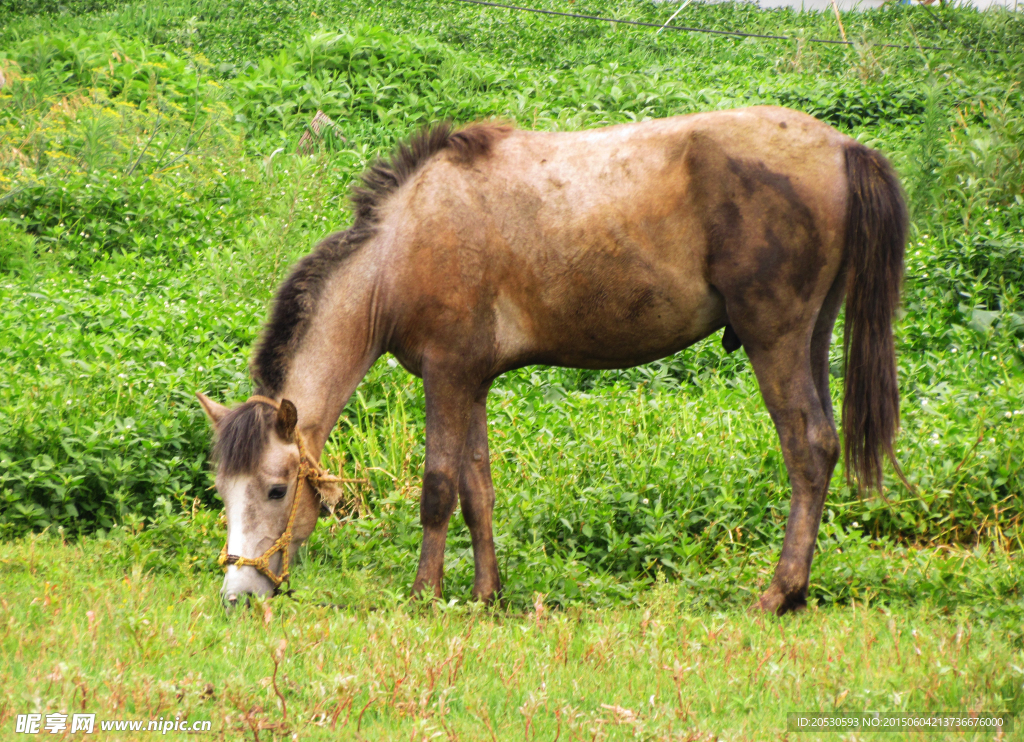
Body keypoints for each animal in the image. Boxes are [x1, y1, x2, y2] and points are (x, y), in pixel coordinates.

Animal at [193, 105, 905, 614]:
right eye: (222, 489)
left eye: (277, 489)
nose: (238, 598)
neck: (398, 253)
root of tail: (843, 147)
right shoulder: (472, 381)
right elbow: (478, 488)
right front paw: (487, 595)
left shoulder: (447, 376)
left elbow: (439, 487)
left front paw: (425, 595)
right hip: (812, 335)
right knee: (825, 444)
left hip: (773, 339)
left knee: (807, 449)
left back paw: (779, 594)